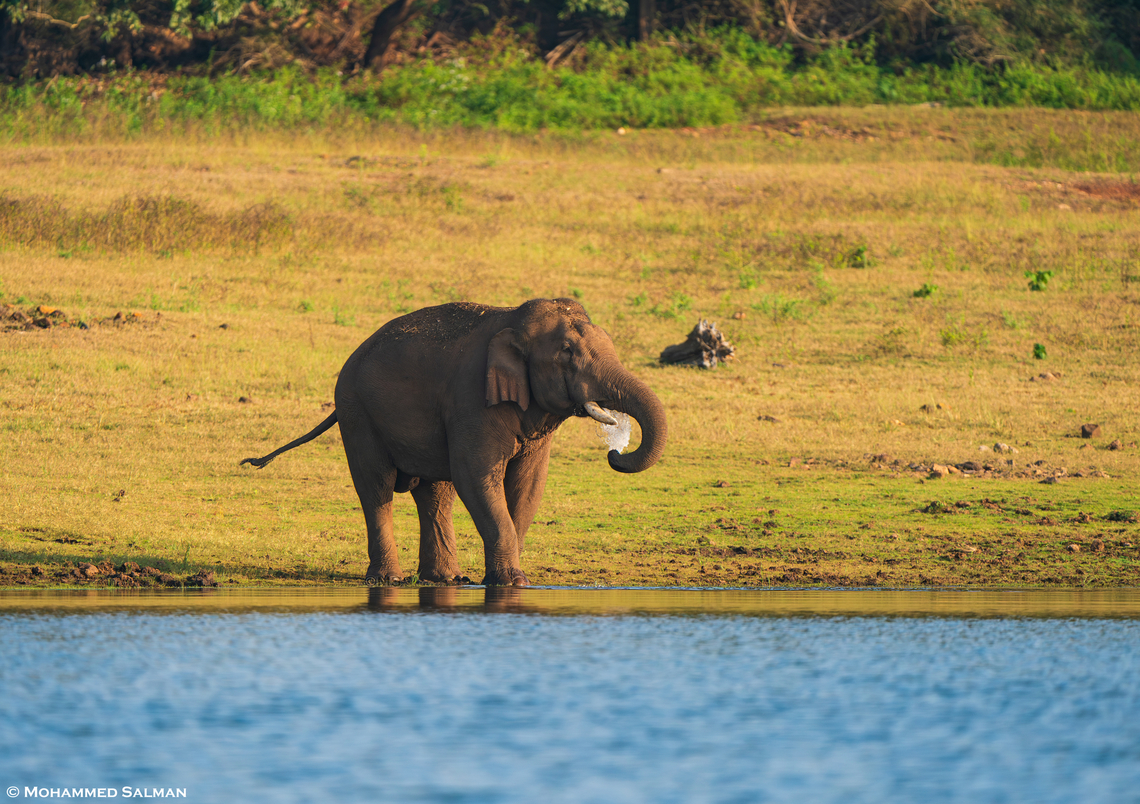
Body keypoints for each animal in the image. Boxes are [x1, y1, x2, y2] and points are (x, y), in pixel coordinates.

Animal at [241, 298, 667, 587]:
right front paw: (512, 582)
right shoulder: (471, 398)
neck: (513, 322)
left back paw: (445, 580)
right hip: (356, 411)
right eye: (567, 353)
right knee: (376, 487)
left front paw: (509, 578)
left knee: (434, 492)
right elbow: (476, 477)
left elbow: (527, 484)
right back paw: (389, 581)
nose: (615, 451)